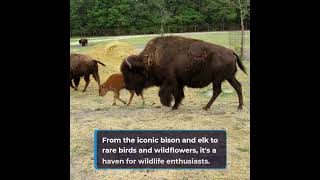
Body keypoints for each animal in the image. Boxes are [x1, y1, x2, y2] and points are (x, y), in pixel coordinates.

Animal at [120, 36, 248, 110]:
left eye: (130, 73)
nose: (127, 86)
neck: (150, 60)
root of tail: (231, 52)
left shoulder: (170, 81)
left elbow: (164, 93)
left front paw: (169, 105)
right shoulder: (179, 83)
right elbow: (179, 94)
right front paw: (175, 105)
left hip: (217, 79)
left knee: (217, 91)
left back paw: (206, 107)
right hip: (229, 77)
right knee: (237, 86)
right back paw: (239, 106)